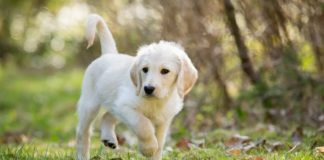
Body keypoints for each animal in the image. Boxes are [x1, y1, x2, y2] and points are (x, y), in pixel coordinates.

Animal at [76, 13, 197, 160]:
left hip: (114, 104)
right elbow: (144, 125)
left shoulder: (163, 121)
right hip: (90, 105)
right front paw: (148, 148)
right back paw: (82, 154)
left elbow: (160, 143)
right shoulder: (126, 106)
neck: (155, 102)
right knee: (83, 132)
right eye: (145, 69)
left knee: (107, 116)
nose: (148, 89)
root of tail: (108, 54)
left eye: (165, 71)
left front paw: (154, 153)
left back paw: (109, 139)